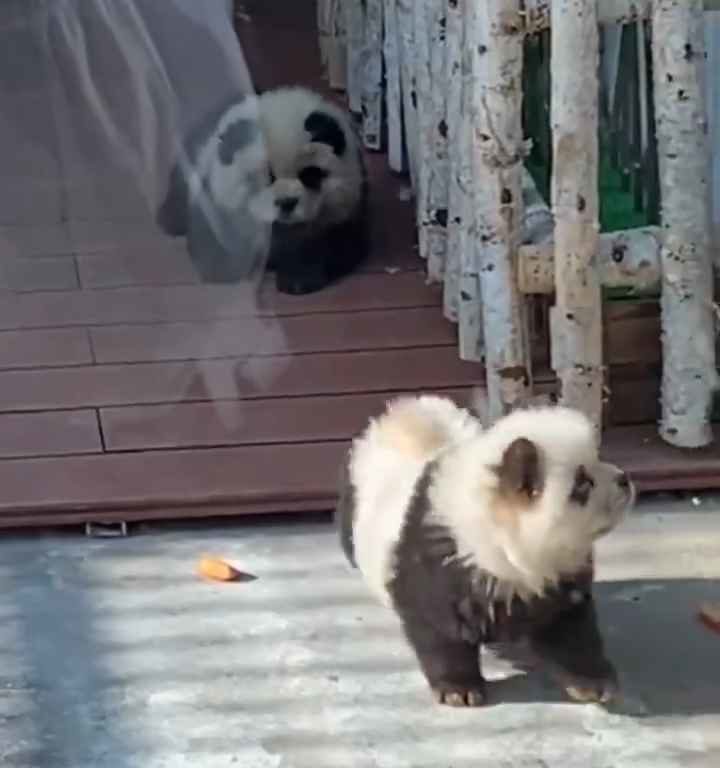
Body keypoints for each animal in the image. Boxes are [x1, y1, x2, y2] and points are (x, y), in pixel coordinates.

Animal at [160, 86, 368, 294]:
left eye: (310, 175)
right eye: (265, 177)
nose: (286, 203)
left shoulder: (344, 207)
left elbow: (333, 242)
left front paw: (298, 279)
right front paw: (222, 269)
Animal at [334, 396, 632, 708]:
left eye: (597, 459)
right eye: (582, 483)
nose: (624, 479)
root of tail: (402, 411)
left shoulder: (556, 577)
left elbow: (568, 626)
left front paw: (593, 683)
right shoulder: (436, 565)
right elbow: (441, 632)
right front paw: (458, 689)